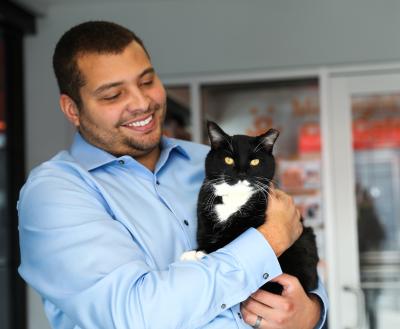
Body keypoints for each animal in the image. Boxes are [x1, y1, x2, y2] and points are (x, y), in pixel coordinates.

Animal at [183, 120, 320, 292]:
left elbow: (229, 241)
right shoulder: (204, 214)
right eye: (229, 160)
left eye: (255, 161)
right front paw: (194, 251)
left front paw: (200, 252)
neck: (235, 197)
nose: (242, 173)